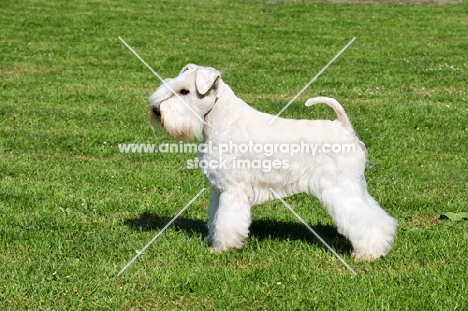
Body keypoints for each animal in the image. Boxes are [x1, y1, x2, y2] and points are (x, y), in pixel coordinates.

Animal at [148, 64, 396, 260]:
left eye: (185, 91)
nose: (155, 109)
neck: (223, 120)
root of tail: (344, 126)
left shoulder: (233, 191)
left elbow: (227, 222)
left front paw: (222, 248)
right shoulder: (218, 190)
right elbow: (215, 218)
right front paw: (213, 239)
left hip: (343, 188)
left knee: (368, 220)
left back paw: (368, 253)